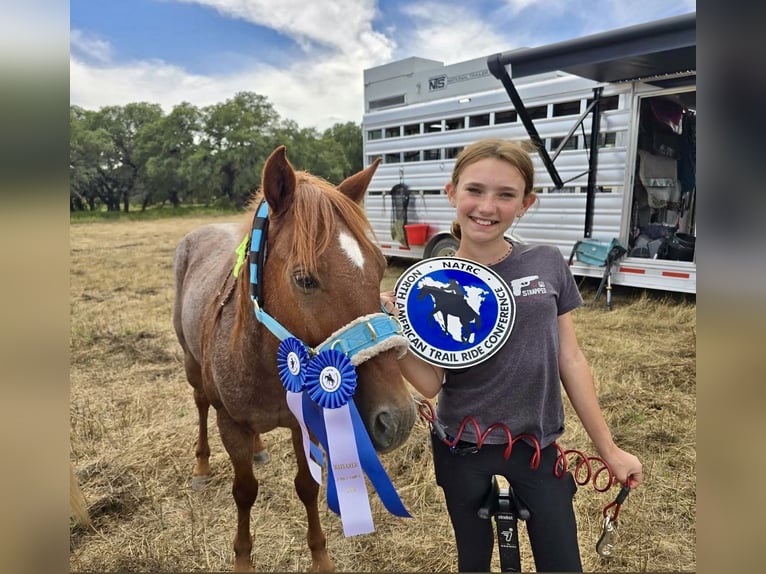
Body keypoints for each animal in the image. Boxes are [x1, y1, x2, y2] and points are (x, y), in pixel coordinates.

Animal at [172, 146, 416, 571]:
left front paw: (321, 558)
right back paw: (202, 466)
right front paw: (243, 559)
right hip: (192, 367)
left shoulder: (305, 421)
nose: (398, 419)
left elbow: (307, 487)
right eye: (304, 279)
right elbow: (244, 491)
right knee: (200, 404)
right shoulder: (230, 424)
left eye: (381, 267)